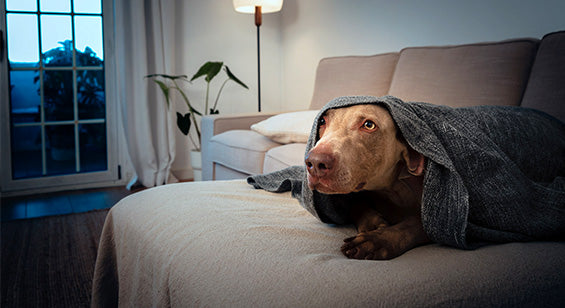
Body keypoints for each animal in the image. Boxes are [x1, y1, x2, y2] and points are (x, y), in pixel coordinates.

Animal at [306, 104, 430, 260]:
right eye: (322, 121)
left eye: (369, 125)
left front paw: (375, 241)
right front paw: (373, 225)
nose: (315, 163)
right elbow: (356, 204)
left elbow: (416, 224)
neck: (391, 187)